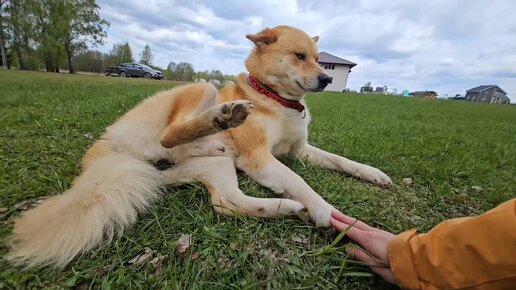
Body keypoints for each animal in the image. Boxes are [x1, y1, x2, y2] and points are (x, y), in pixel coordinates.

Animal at [7, 24, 392, 268]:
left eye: (317, 57)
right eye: (299, 55)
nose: (327, 78)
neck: (274, 99)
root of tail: (103, 148)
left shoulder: (298, 151)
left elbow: (340, 160)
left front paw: (373, 174)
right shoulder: (258, 157)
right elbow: (300, 180)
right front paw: (323, 209)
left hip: (215, 163)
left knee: (226, 203)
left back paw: (285, 207)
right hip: (197, 90)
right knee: (173, 132)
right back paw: (222, 116)